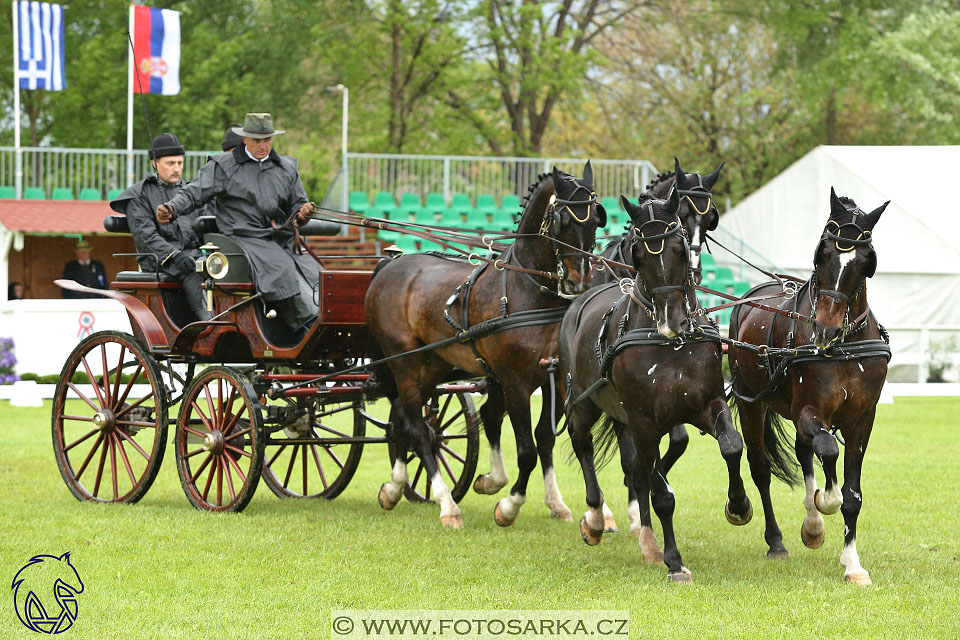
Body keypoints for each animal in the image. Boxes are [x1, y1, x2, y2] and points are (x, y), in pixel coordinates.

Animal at [368, 162, 608, 528]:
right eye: (561, 221)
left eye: (596, 219)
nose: (578, 280)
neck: (530, 289)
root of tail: (391, 264)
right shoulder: (515, 382)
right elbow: (527, 450)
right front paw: (509, 506)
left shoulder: (554, 381)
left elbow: (545, 439)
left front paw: (555, 502)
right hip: (403, 362)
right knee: (418, 430)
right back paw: (447, 505)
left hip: (431, 364)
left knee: (405, 422)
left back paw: (394, 488)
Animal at [560, 192, 752, 584]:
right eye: (639, 254)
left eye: (680, 248)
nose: (672, 321)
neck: (670, 346)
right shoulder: (645, 422)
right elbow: (661, 494)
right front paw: (675, 562)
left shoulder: (708, 403)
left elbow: (731, 445)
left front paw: (739, 505)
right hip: (584, 403)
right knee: (583, 444)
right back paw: (596, 519)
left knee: (637, 467)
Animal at [728, 186, 892, 584]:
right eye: (823, 254)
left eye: (864, 262)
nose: (825, 329)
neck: (843, 348)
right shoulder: (809, 410)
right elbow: (829, 453)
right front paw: (824, 501)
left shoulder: (862, 420)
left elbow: (853, 494)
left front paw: (852, 563)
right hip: (752, 402)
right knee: (761, 468)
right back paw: (776, 539)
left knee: (804, 451)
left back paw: (812, 523)